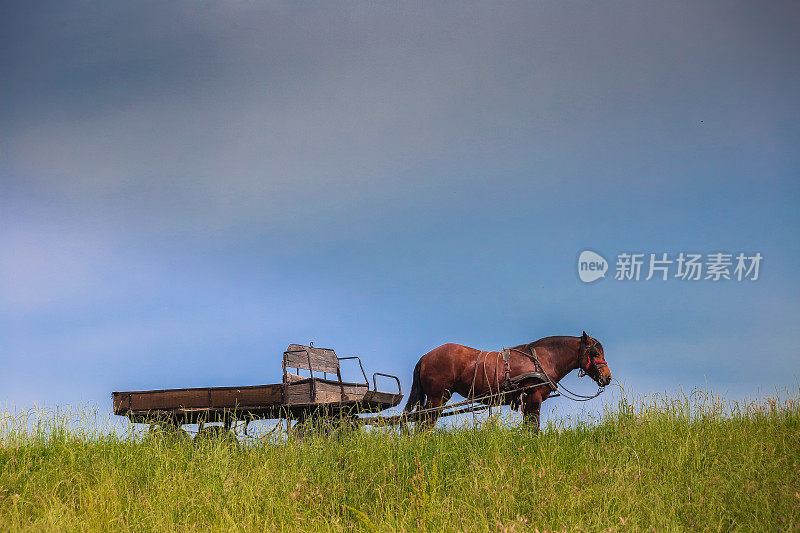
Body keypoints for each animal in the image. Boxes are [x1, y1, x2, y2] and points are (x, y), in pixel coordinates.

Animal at [404, 330, 616, 430]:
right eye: (595, 352)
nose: (607, 377)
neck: (540, 359)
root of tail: (425, 357)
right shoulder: (533, 397)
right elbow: (533, 427)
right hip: (437, 397)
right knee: (425, 423)